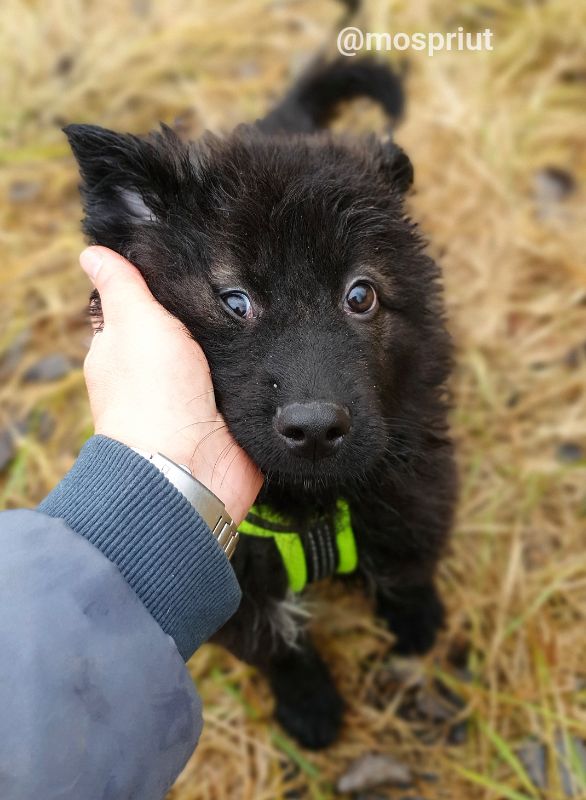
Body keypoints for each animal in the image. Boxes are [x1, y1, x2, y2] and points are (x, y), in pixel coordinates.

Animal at [65, 61, 456, 752]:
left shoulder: (415, 484)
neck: (309, 510)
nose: (316, 428)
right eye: (235, 300)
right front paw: (310, 709)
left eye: (361, 295)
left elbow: (409, 565)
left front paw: (418, 624)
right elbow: (279, 651)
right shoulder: (233, 583)